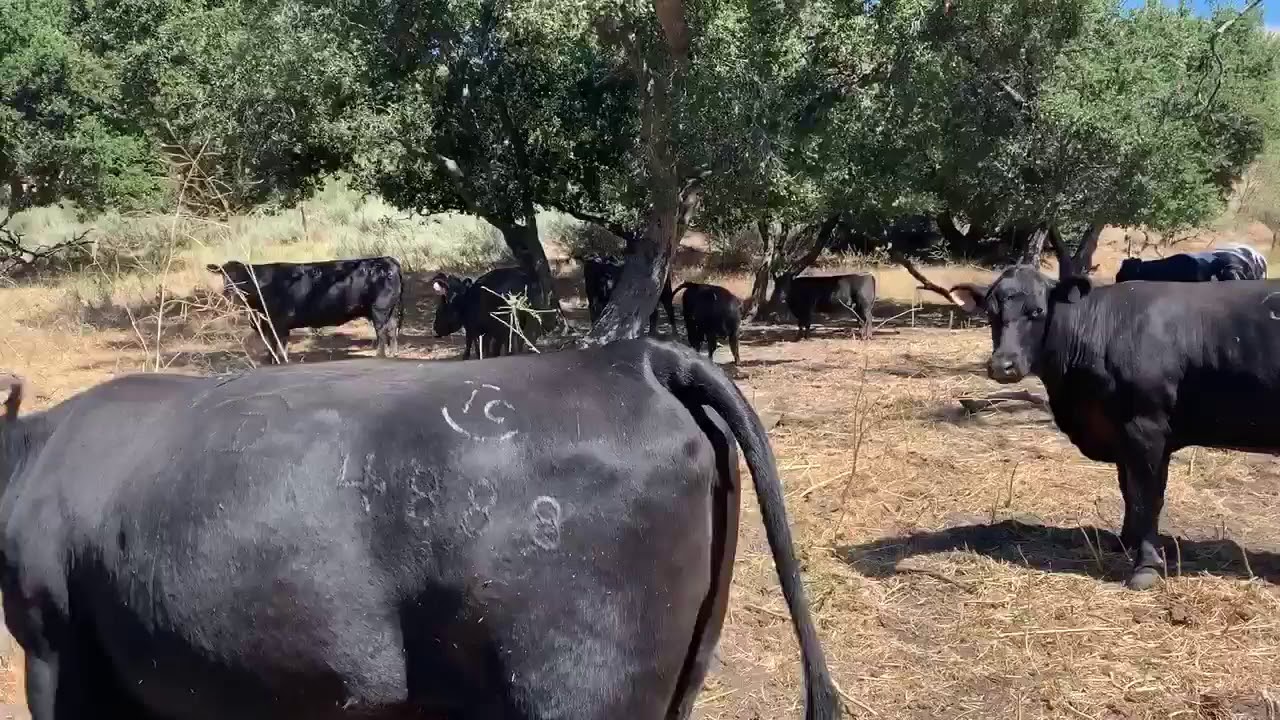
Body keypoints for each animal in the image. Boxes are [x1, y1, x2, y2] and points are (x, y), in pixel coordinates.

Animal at [206, 257, 404, 363]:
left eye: (244, 277)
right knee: (392, 329)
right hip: (390, 309)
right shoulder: (267, 325)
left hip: (380, 309)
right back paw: (393, 353)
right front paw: (270, 361)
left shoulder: (280, 323)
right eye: (224, 276)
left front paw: (281, 361)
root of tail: (387, 260)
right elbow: (270, 346)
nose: (229, 291)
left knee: (382, 332)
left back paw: (380, 355)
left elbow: (280, 345)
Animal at [950, 266, 1280, 590]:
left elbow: (1148, 498)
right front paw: (1125, 542)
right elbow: (1129, 491)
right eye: (991, 313)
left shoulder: (1147, 427)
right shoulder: (1121, 434)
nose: (1002, 366)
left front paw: (1146, 567)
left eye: (1037, 311)